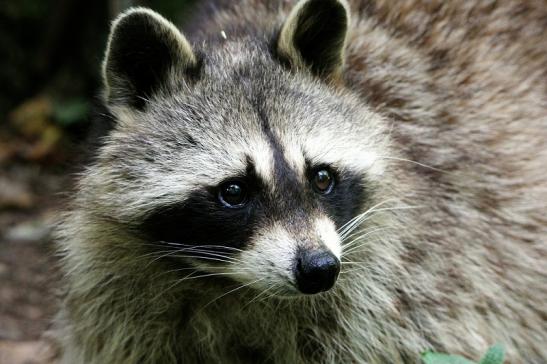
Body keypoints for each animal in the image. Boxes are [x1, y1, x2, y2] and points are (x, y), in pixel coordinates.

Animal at [56, 0, 547, 362]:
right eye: (233, 191)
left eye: (322, 177)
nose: (319, 269)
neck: (231, 287)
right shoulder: (126, 304)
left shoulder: (417, 284)